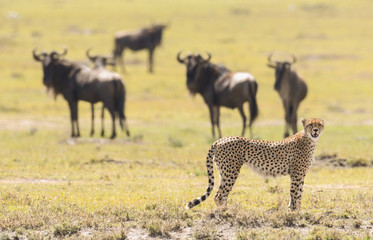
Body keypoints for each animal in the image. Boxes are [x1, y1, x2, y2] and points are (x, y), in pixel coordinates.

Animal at [185, 118, 322, 210]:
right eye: (310, 124)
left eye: (319, 124)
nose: (315, 130)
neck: (310, 140)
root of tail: (221, 139)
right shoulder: (296, 174)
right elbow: (295, 193)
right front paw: (294, 212)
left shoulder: (301, 175)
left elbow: (299, 193)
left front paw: (298, 210)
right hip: (231, 172)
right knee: (219, 195)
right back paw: (226, 212)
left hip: (223, 172)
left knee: (220, 194)